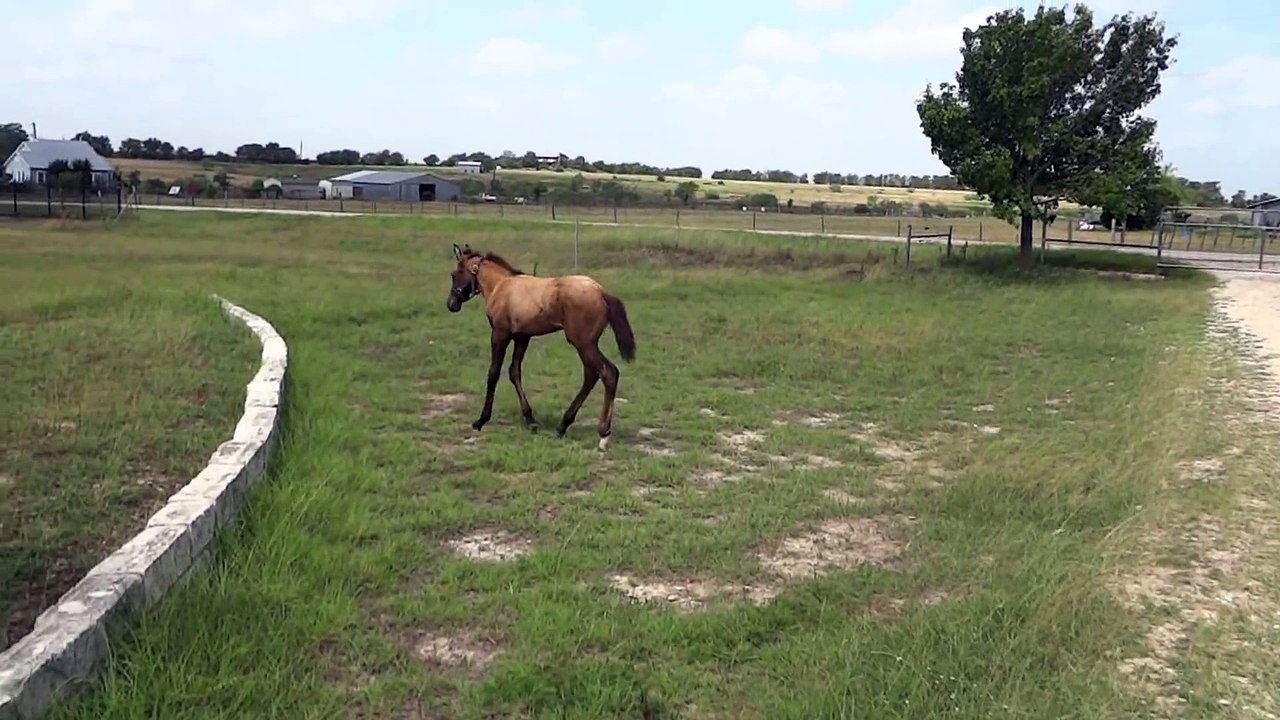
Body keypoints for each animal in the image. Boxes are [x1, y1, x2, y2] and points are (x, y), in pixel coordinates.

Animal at [445, 243, 636, 451]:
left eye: (454, 274)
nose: (451, 305)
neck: (501, 285)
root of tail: (601, 291)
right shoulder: (522, 337)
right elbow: (514, 372)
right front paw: (530, 420)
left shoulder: (499, 334)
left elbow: (493, 373)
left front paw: (481, 420)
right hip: (586, 344)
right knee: (591, 375)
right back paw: (563, 426)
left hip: (583, 343)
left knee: (608, 373)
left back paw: (603, 434)